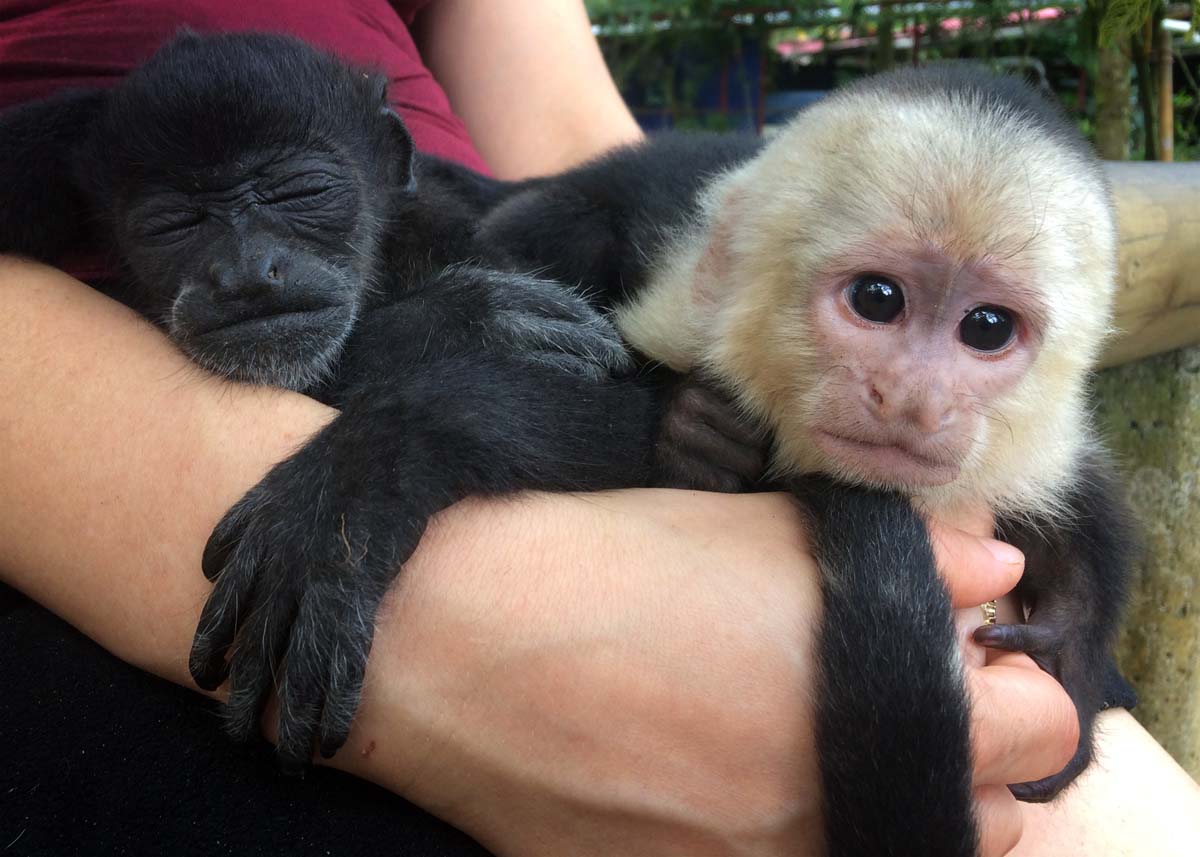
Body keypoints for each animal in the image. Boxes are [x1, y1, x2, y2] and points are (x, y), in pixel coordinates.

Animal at [475, 68, 1132, 854]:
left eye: (987, 327)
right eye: (878, 298)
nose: (910, 397)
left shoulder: (1037, 446)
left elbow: (1083, 500)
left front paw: (1069, 647)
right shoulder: (682, 306)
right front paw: (692, 435)